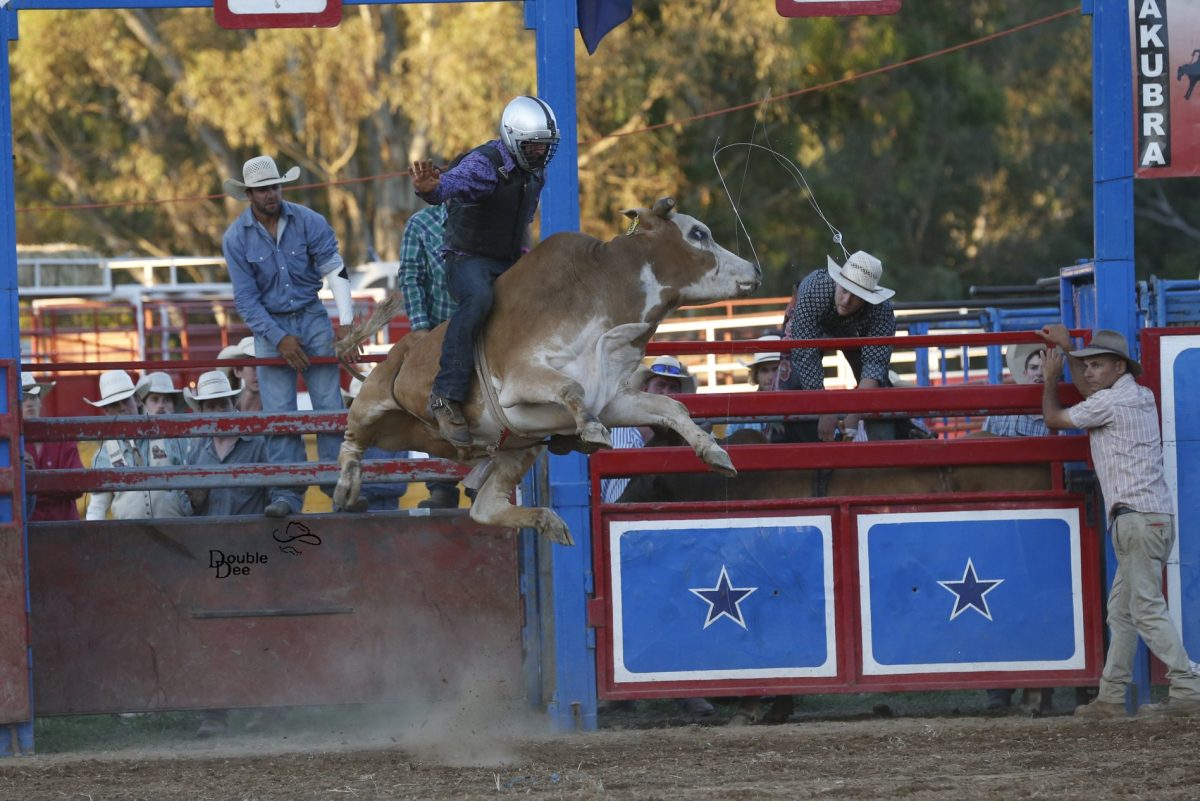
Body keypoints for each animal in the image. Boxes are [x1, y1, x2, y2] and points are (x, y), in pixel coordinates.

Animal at [331, 197, 758, 544]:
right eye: (698, 233)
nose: (754, 269)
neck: (602, 295)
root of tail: (402, 348)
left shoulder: (612, 398)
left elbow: (672, 408)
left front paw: (714, 452)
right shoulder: (523, 378)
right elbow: (571, 389)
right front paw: (590, 432)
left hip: (514, 453)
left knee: (485, 508)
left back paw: (547, 521)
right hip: (372, 403)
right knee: (350, 441)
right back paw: (346, 487)